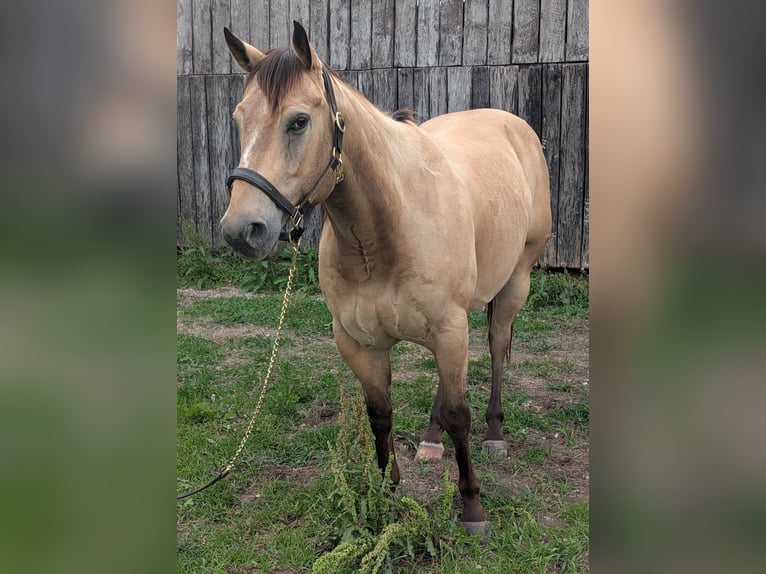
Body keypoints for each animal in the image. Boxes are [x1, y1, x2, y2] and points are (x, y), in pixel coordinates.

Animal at [220, 22, 551, 535]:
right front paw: (385, 495)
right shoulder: (360, 344)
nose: (242, 230)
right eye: (240, 118)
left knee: (497, 346)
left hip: (515, 282)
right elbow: (380, 416)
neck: (383, 233)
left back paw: (495, 432)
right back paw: (431, 439)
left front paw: (472, 508)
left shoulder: (449, 328)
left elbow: (461, 414)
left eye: (299, 121)